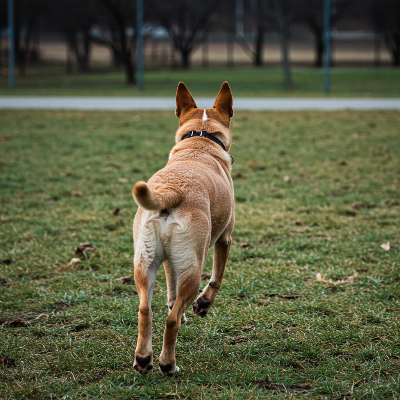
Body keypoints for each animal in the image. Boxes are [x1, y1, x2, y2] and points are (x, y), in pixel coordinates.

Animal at [131, 82, 235, 375]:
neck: (200, 139)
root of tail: (172, 191)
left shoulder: (170, 260)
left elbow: (171, 290)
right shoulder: (224, 239)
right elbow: (217, 277)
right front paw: (203, 304)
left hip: (145, 263)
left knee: (146, 311)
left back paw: (144, 358)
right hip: (193, 267)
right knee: (171, 321)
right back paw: (168, 364)